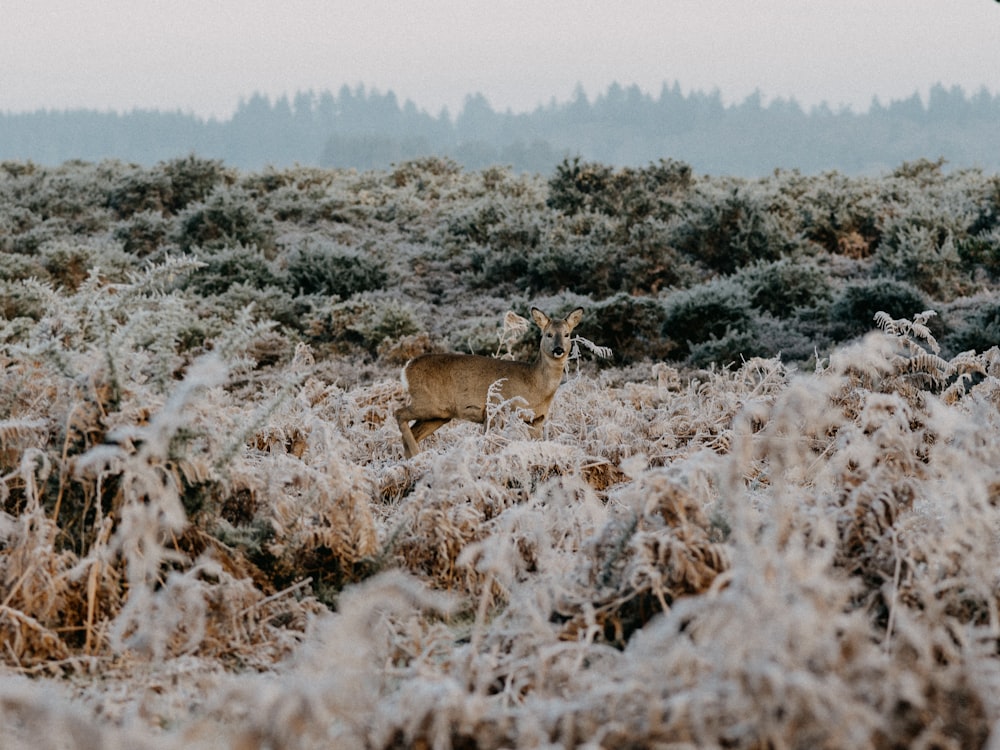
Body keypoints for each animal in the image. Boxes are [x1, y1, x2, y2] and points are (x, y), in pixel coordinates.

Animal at [396, 306, 584, 458]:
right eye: (548, 334)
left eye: (567, 334)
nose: (558, 349)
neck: (535, 384)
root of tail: (406, 368)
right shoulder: (495, 409)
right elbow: (487, 443)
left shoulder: (537, 419)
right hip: (426, 402)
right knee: (398, 413)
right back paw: (416, 455)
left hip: (439, 414)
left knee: (413, 431)